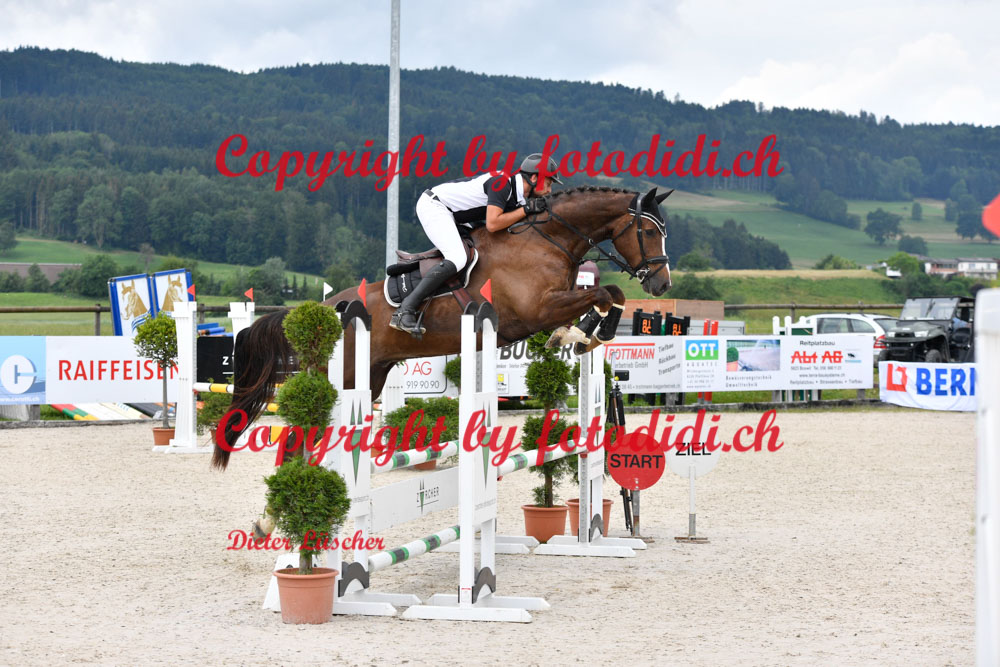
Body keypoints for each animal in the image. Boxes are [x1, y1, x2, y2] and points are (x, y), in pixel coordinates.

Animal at [212, 186, 673, 470]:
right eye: (650, 231)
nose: (662, 284)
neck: (548, 240)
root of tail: (317, 310)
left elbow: (610, 293)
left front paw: (584, 335)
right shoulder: (537, 309)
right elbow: (602, 294)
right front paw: (585, 334)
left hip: (369, 377)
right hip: (339, 375)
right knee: (298, 437)